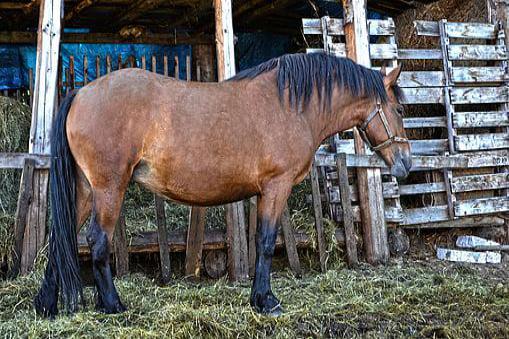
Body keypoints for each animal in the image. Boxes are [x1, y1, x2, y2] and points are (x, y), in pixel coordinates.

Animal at [33, 52, 410, 318]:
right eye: (399, 109)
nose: (406, 163)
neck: (292, 105)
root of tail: (81, 92)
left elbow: (260, 241)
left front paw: (258, 297)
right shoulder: (276, 187)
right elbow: (265, 241)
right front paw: (266, 300)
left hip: (86, 190)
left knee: (61, 236)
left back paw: (46, 304)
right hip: (109, 188)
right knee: (97, 240)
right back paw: (112, 304)